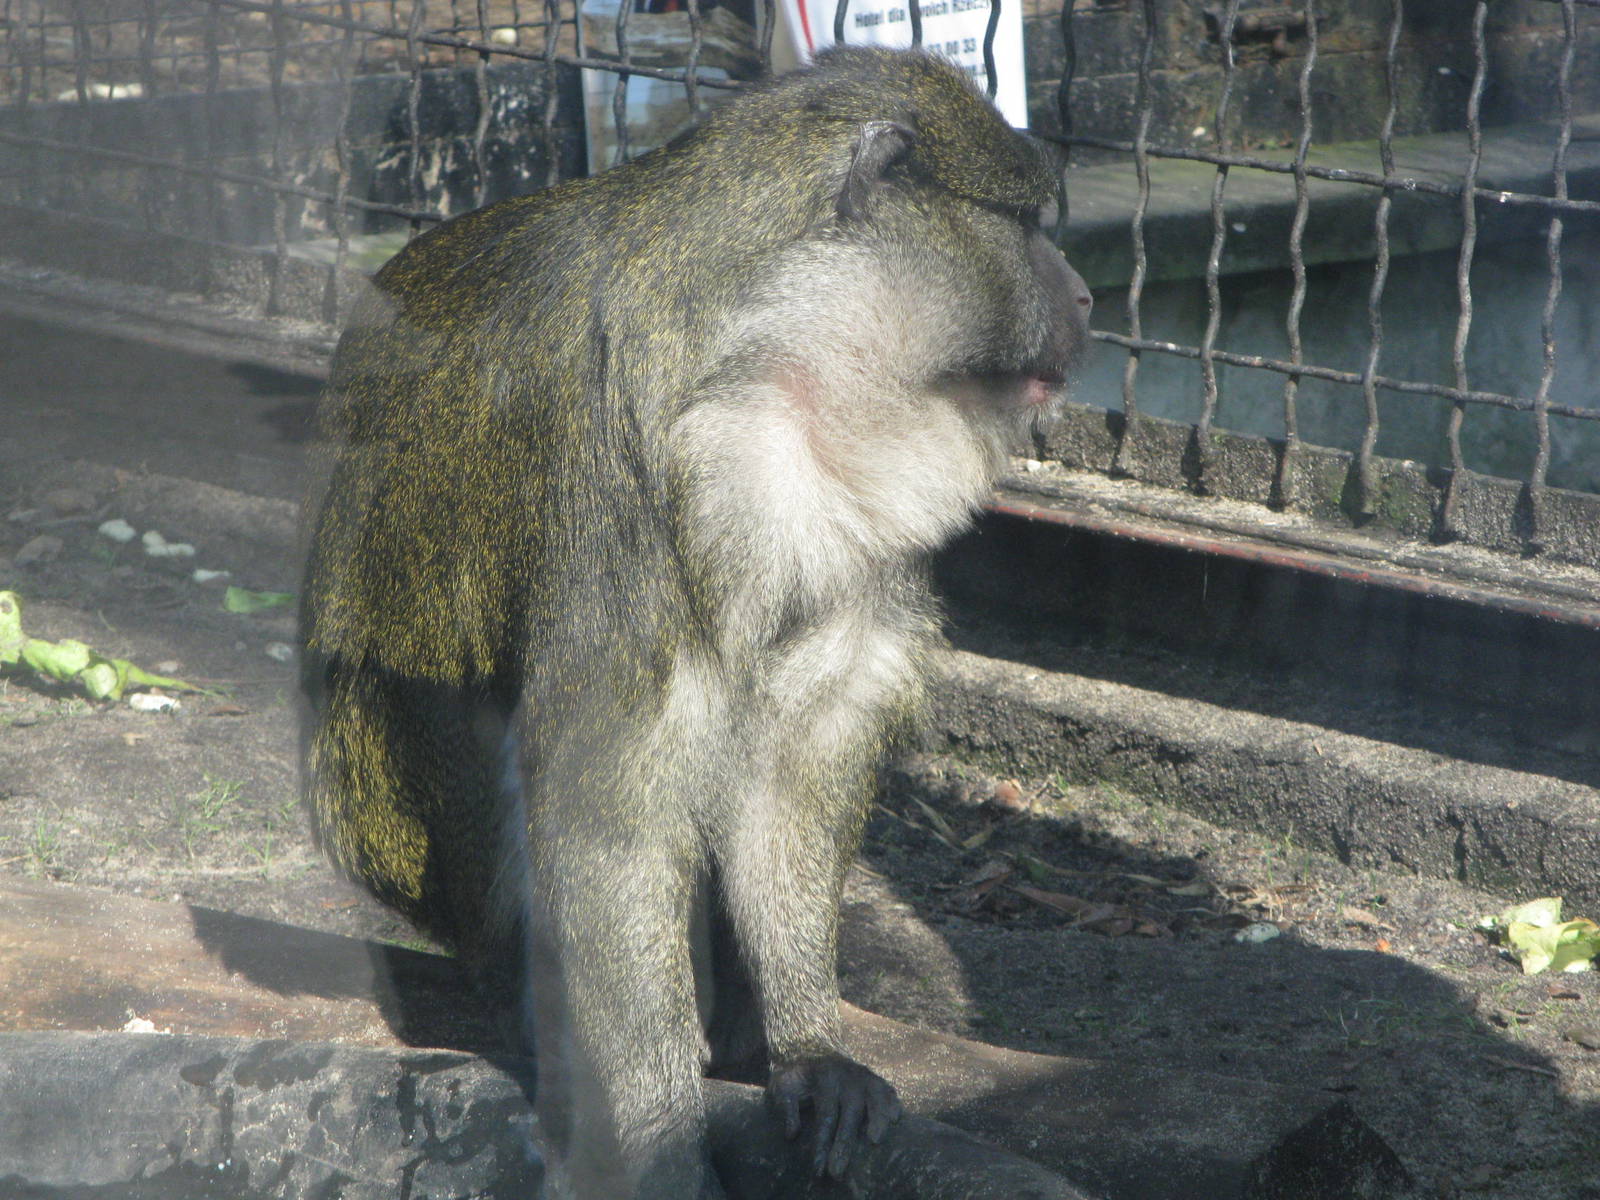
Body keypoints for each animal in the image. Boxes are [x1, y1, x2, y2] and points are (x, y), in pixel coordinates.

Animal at [299, 45, 1091, 1199]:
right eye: (1026, 224)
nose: (1082, 291)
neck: (768, 355)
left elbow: (799, 745)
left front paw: (809, 1048)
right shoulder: (612, 463)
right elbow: (604, 812)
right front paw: (660, 1146)